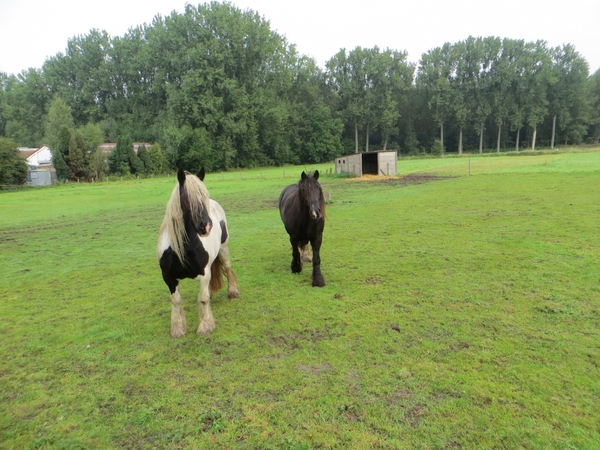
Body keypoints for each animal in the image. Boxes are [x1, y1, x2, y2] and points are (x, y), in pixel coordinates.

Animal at [158, 169, 238, 338]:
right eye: (187, 198)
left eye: (204, 195)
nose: (206, 226)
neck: (183, 249)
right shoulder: (168, 277)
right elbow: (176, 300)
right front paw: (178, 329)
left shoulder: (203, 273)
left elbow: (202, 299)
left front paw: (206, 326)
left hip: (224, 248)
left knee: (228, 267)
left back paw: (233, 292)